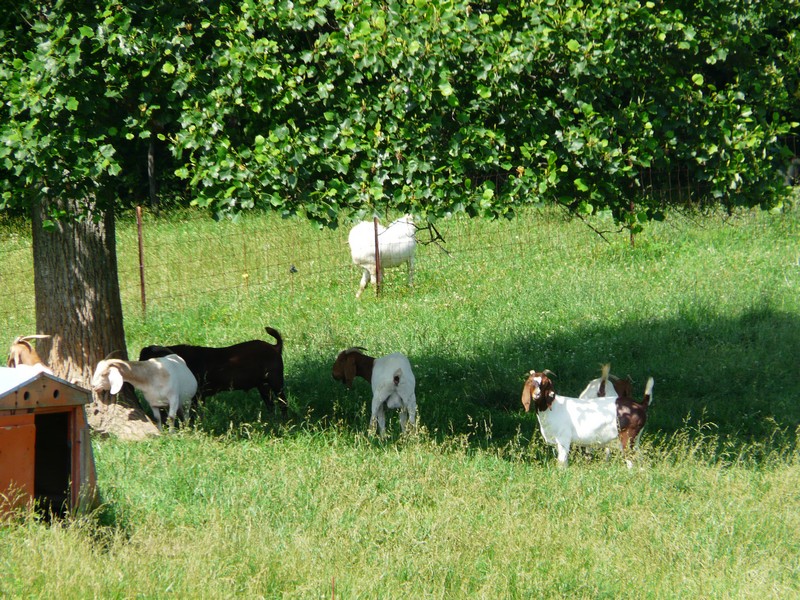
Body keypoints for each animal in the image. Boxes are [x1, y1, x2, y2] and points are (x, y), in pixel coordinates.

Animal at [138, 327, 287, 416]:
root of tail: (274, 347)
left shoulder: (196, 395)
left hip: (276, 381)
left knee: (282, 401)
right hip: (263, 385)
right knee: (270, 403)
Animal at [521, 369, 654, 468]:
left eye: (544, 383)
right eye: (530, 381)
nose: (537, 395)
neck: (554, 406)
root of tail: (640, 405)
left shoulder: (564, 439)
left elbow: (562, 463)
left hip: (627, 437)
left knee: (630, 459)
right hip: (636, 439)